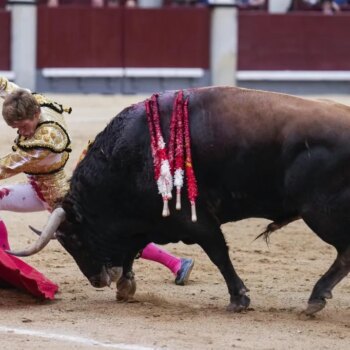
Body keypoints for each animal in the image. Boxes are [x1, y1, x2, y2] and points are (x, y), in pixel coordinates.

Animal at [10, 87, 350, 314]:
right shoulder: (147, 221)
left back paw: (315, 298)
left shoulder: (195, 219)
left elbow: (219, 254)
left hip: (321, 213)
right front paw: (126, 287)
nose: (96, 280)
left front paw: (239, 299)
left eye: (76, 241)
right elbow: (132, 249)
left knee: (344, 253)